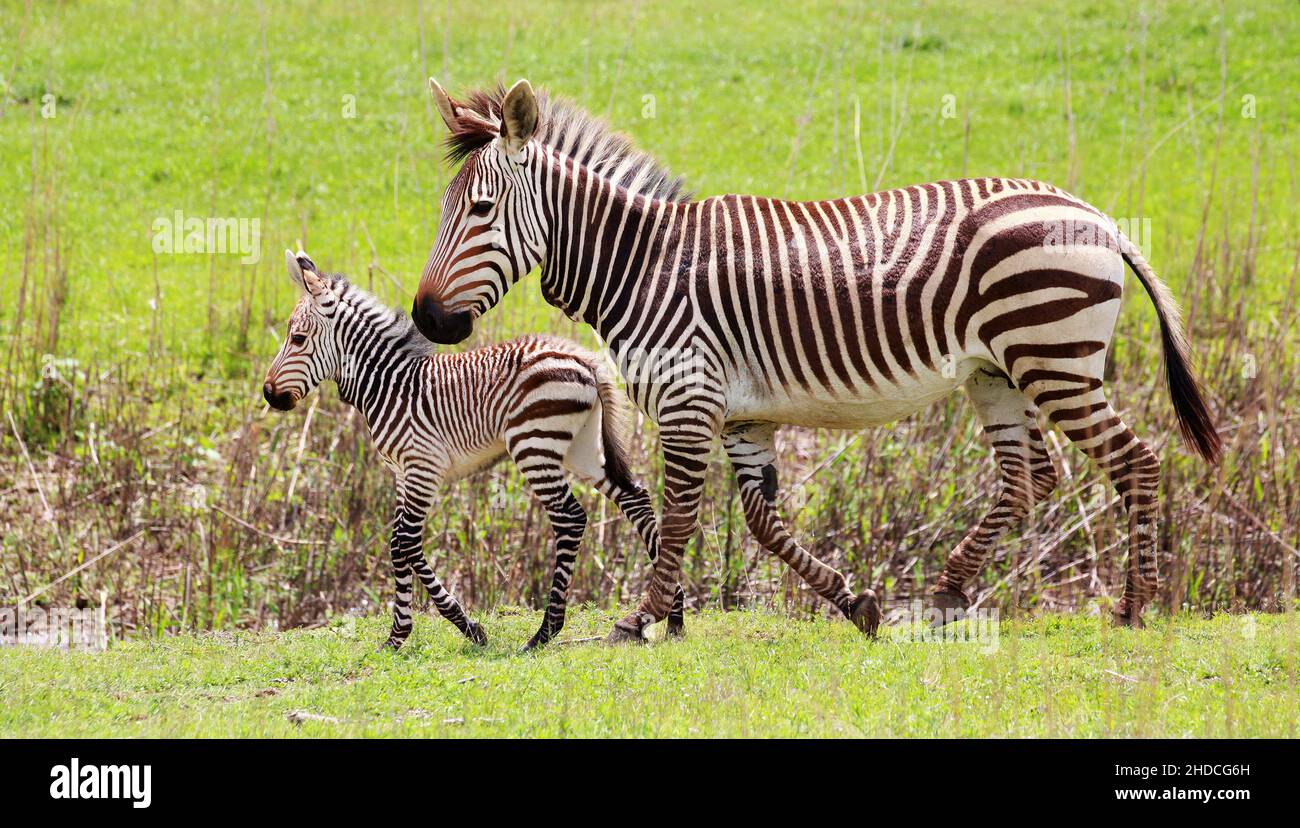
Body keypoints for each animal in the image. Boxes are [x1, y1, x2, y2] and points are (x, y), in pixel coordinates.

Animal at [265, 248, 691, 649]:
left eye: (297, 339)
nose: (269, 394)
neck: (390, 385)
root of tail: (584, 359)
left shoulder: (423, 468)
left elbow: (406, 543)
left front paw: (462, 626)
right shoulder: (402, 474)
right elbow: (398, 546)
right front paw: (399, 634)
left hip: (533, 445)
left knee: (570, 518)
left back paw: (546, 631)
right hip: (581, 448)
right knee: (635, 499)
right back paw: (673, 612)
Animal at [413, 80, 1216, 636]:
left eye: (479, 210)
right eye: (443, 210)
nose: (425, 318)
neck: (644, 264)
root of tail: (1098, 215)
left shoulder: (687, 399)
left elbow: (680, 516)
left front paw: (639, 620)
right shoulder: (742, 415)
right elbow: (763, 523)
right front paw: (854, 602)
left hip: (1055, 358)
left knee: (1135, 461)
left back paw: (1133, 607)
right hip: (999, 372)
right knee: (1029, 477)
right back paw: (950, 591)